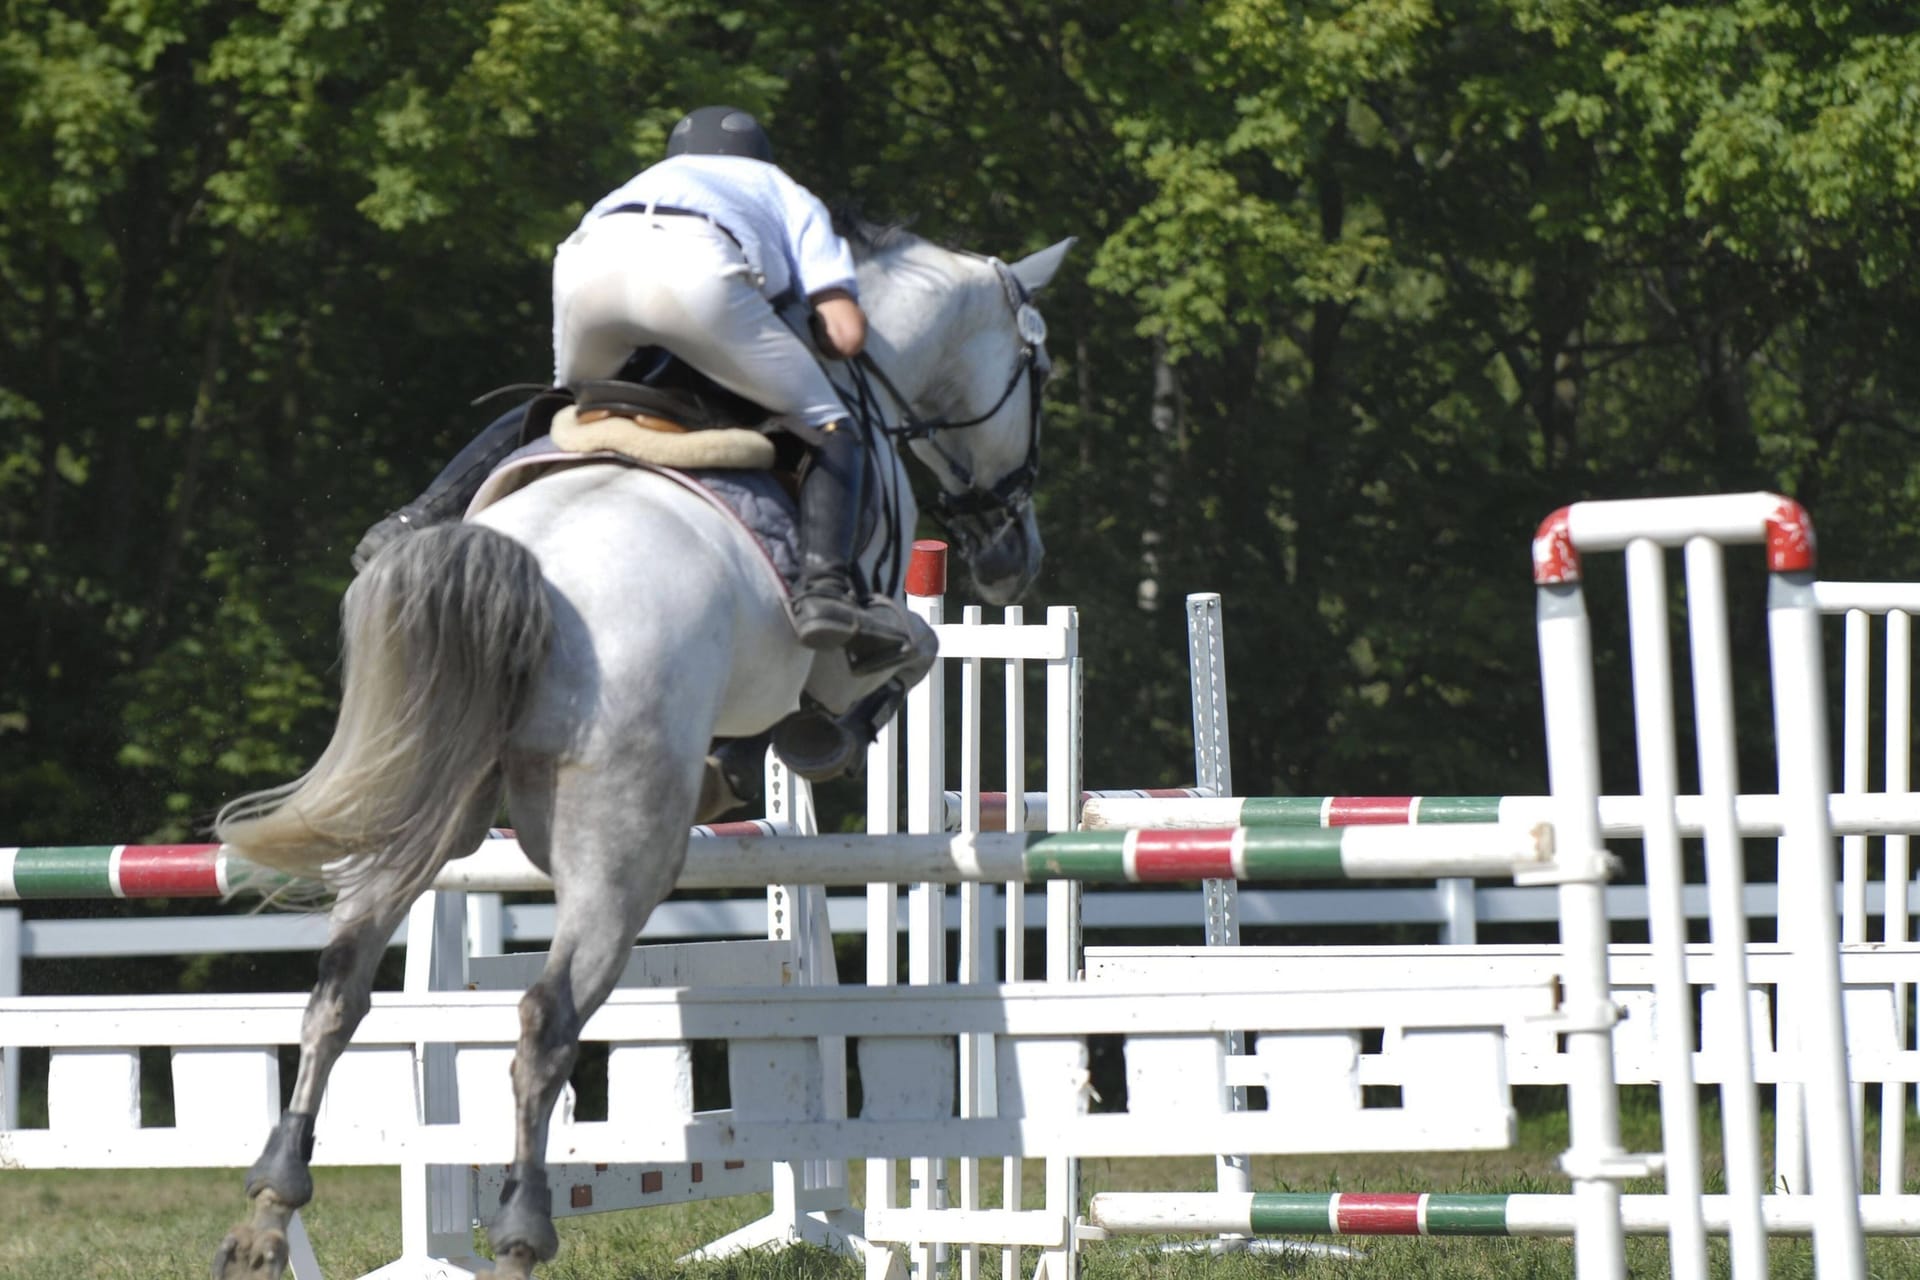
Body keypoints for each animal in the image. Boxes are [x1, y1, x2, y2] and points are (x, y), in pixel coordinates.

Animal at [212, 225, 1082, 1274]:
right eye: (1040, 370)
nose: (1013, 559)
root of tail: (529, 569)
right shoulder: (853, 631)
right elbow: (907, 650)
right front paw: (813, 740)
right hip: (619, 852)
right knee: (545, 1018)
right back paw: (520, 1230)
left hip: (422, 806)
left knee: (339, 985)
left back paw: (268, 1211)